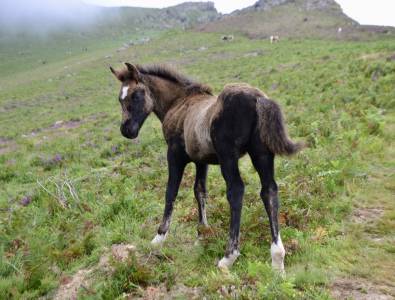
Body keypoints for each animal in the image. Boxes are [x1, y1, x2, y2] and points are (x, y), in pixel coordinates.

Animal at [110, 62, 302, 270]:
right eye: (119, 98)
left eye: (136, 95)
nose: (126, 130)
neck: (178, 103)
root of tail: (258, 98)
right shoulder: (201, 160)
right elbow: (199, 190)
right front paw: (202, 233)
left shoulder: (175, 155)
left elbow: (171, 192)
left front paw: (159, 238)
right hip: (261, 154)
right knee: (269, 191)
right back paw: (277, 259)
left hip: (228, 156)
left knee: (236, 191)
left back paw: (228, 257)